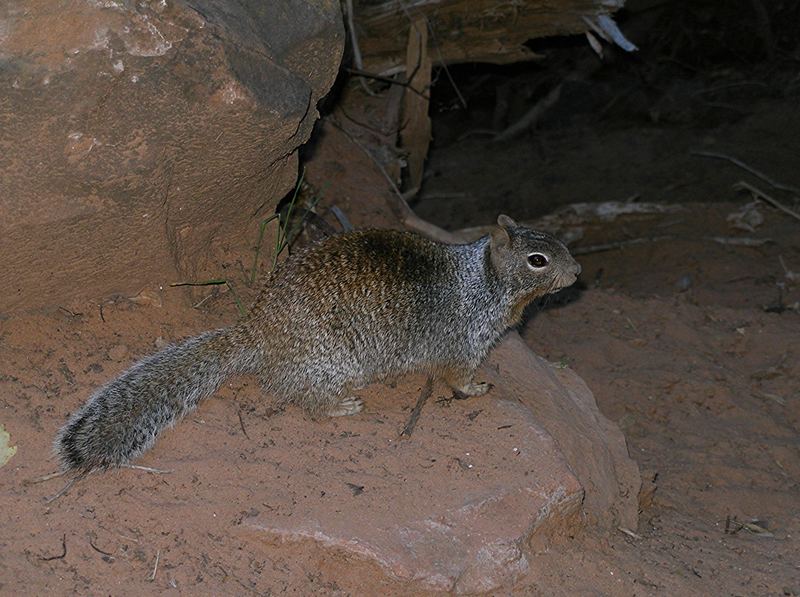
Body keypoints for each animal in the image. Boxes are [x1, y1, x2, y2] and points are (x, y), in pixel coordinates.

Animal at [56, 214, 580, 470]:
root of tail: (259, 332)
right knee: (302, 398)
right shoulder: (466, 342)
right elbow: (458, 378)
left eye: (557, 241)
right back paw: (340, 405)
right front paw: (476, 389)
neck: (484, 282)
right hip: (330, 363)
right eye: (537, 259)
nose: (578, 271)